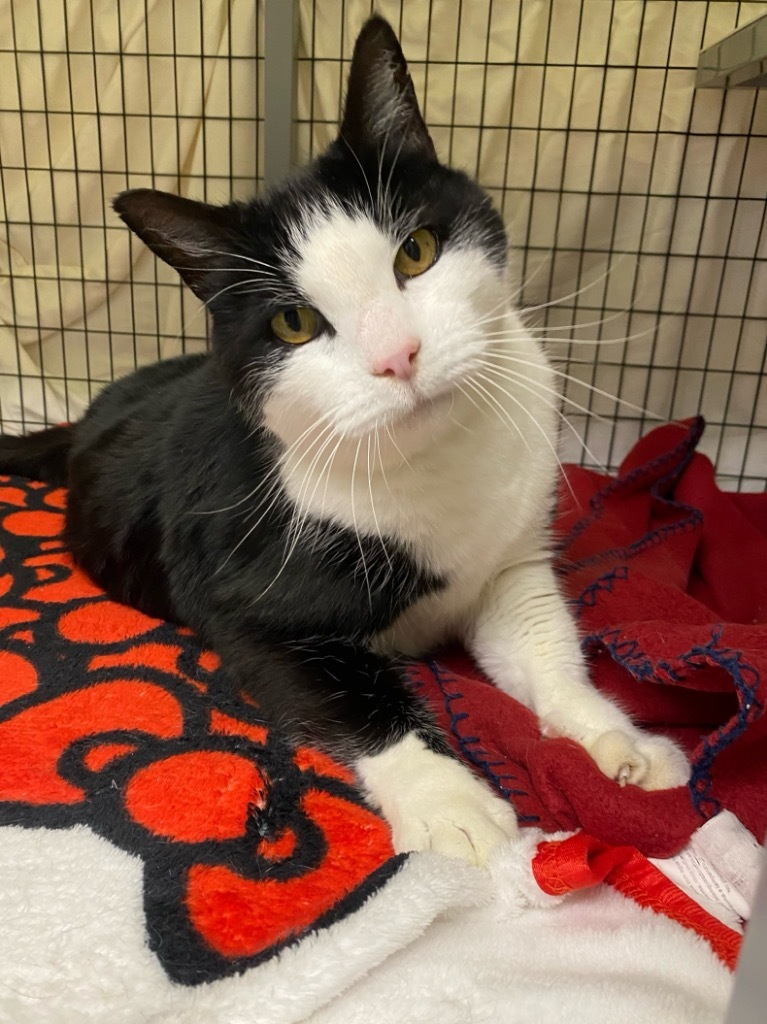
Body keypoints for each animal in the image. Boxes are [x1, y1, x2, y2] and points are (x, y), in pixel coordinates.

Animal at [0, 16, 688, 864]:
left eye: (416, 251)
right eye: (294, 322)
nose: (398, 356)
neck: (437, 468)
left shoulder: (509, 560)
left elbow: (542, 642)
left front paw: (612, 740)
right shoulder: (241, 599)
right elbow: (352, 696)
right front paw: (450, 801)